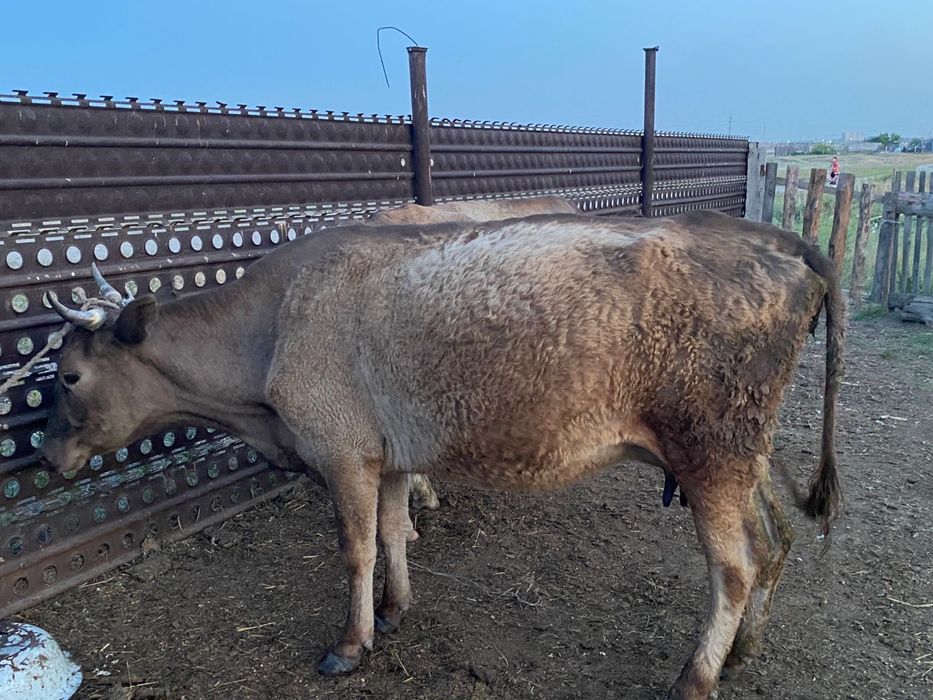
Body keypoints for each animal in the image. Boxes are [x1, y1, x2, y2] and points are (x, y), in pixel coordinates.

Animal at [39, 210, 843, 700]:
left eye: (70, 375)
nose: (46, 453)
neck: (271, 327)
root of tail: (783, 249)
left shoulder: (342, 451)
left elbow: (357, 548)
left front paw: (351, 641)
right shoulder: (390, 452)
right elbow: (395, 533)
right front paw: (395, 610)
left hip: (709, 453)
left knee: (734, 567)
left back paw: (696, 676)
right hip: (740, 451)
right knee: (775, 540)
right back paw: (742, 651)